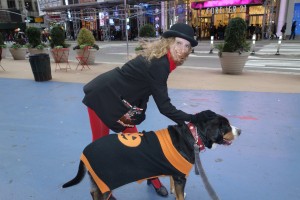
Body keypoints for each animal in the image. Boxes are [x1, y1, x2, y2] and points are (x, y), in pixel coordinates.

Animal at [62, 110, 240, 199]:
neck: (192, 135)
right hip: (104, 183)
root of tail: (85, 151)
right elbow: (180, 195)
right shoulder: (180, 177)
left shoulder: (175, 172)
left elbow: (173, 186)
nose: (240, 131)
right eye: (226, 126)